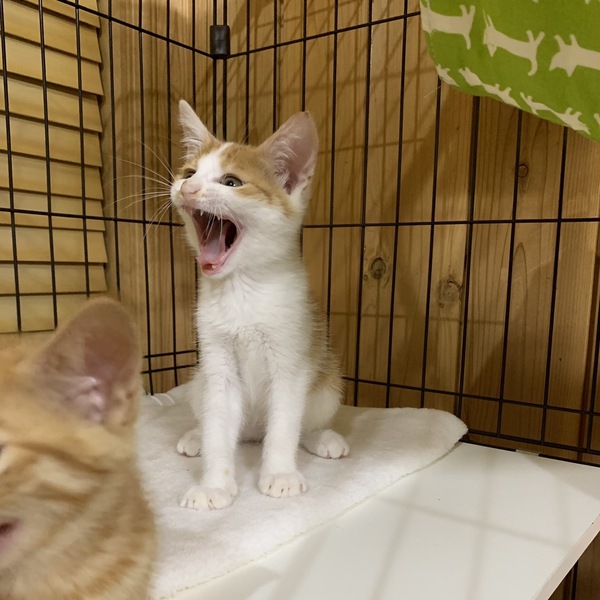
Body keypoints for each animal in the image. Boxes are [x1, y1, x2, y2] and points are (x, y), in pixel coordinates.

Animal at [171, 99, 349, 510]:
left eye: (231, 182)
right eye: (188, 172)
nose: (187, 188)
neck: (243, 291)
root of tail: (252, 432)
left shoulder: (291, 357)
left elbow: (285, 423)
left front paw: (280, 474)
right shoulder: (217, 363)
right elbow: (218, 426)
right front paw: (214, 485)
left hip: (328, 381)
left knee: (304, 420)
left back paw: (321, 437)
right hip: (198, 382)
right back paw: (195, 436)